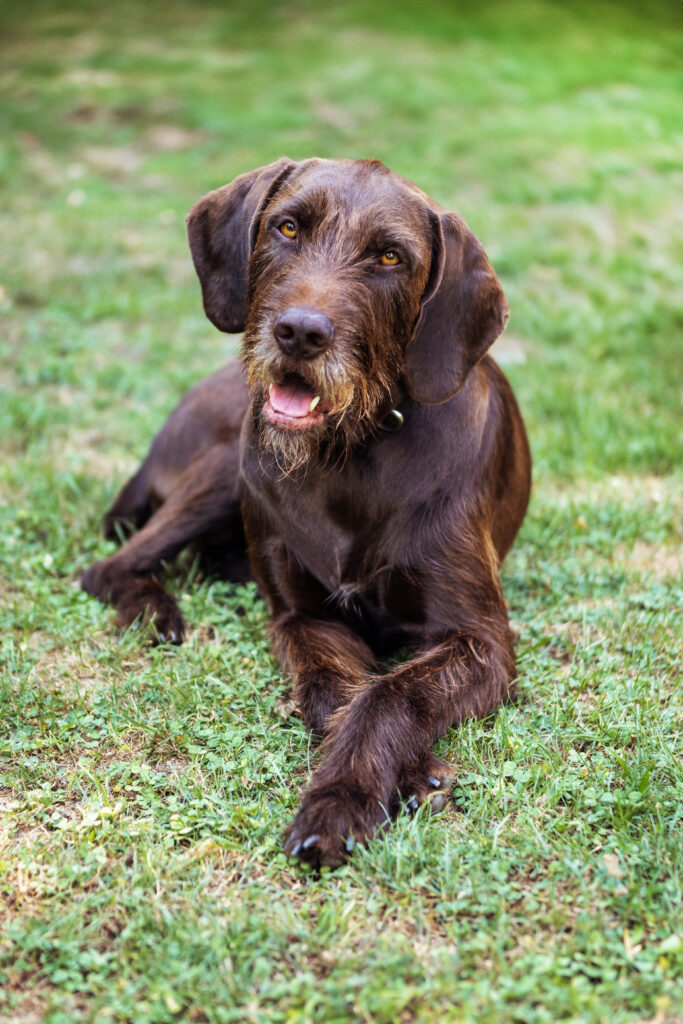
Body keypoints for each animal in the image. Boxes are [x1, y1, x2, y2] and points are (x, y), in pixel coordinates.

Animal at [82, 157, 532, 864]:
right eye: (288, 227)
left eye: (390, 257)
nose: (299, 333)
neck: (353, 450)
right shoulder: (300, 616)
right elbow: (334, 688)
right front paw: (393, 777)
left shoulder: (480, 638)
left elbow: (390, 693)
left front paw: (342, 798)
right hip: (228, 466)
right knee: (111, 565)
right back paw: (156, 612)